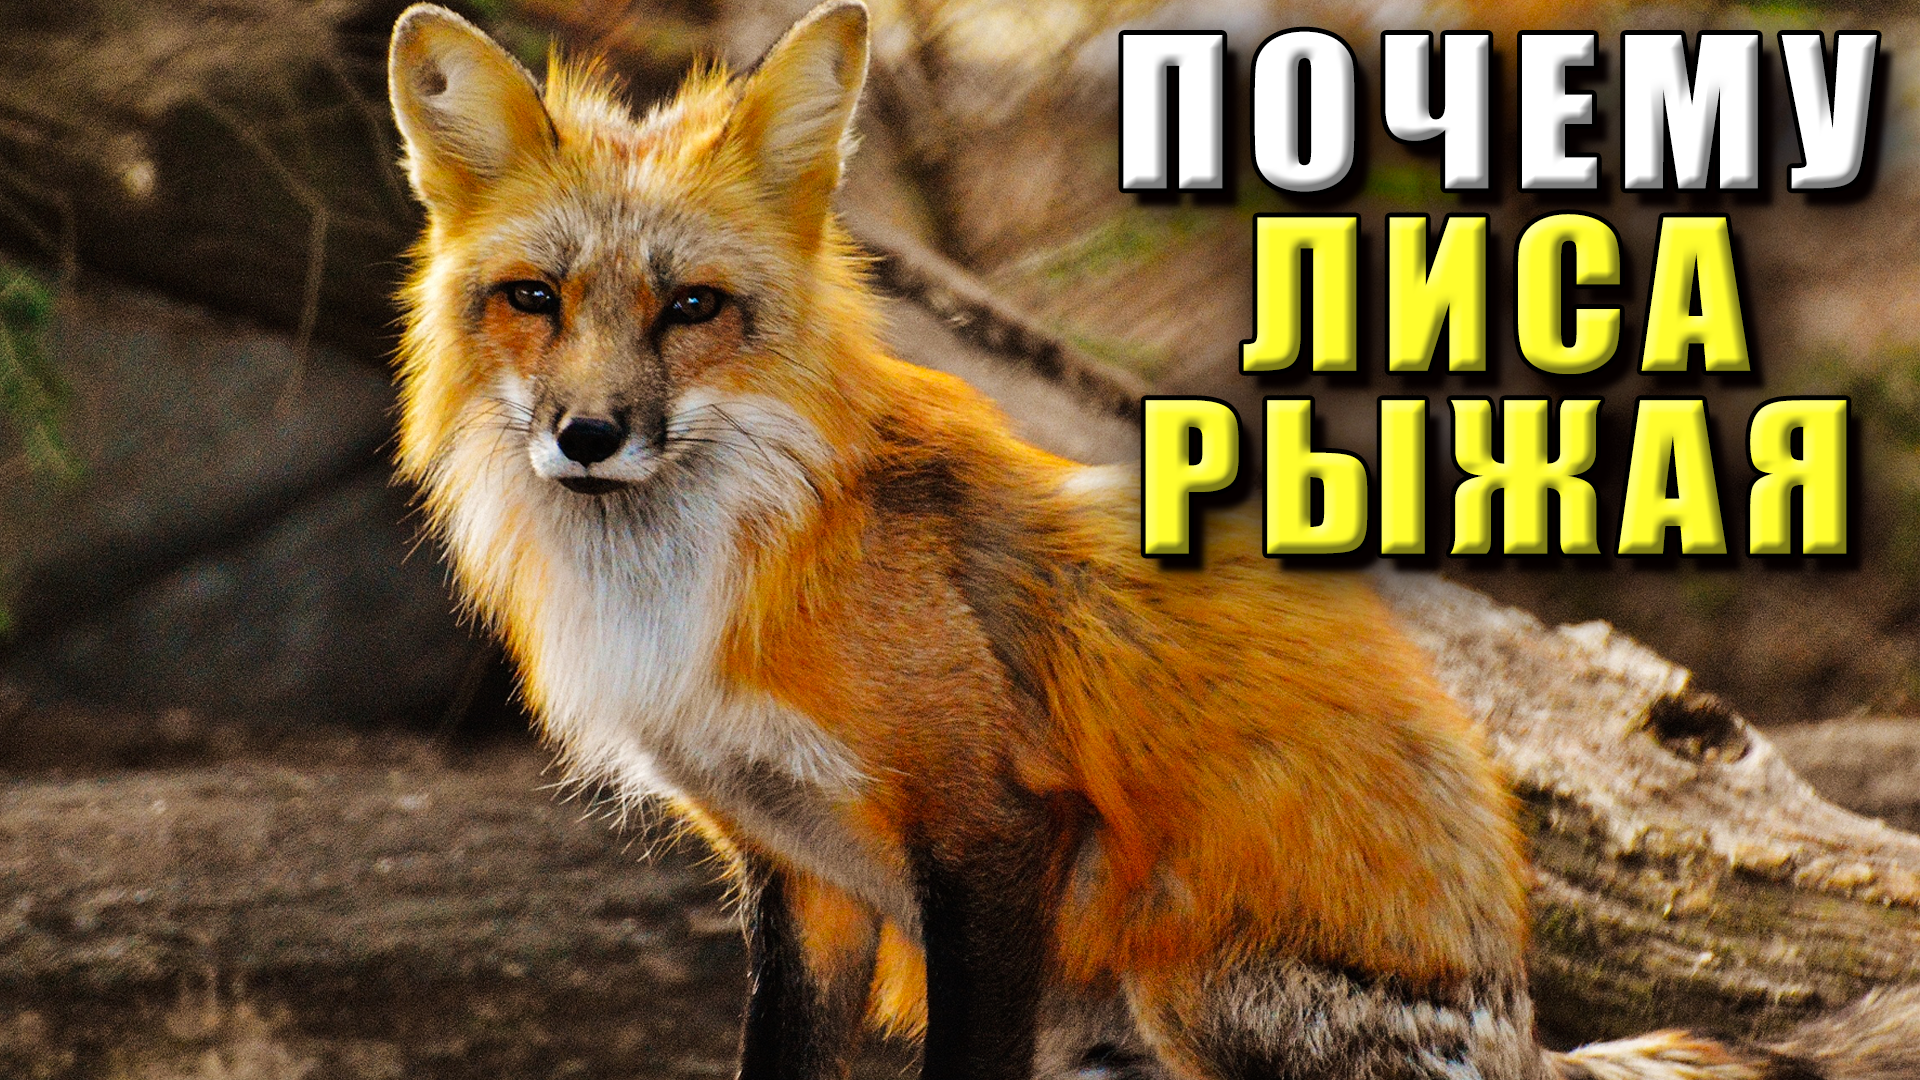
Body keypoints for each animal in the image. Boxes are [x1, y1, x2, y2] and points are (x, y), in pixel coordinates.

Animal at [385, 3, 1920, 1078]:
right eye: (532, 298)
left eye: (693, 307)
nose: (589, 435)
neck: (699, 571)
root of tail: (1527, 1027)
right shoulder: (797, 876)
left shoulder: (996, 829)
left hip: (1185, 981)